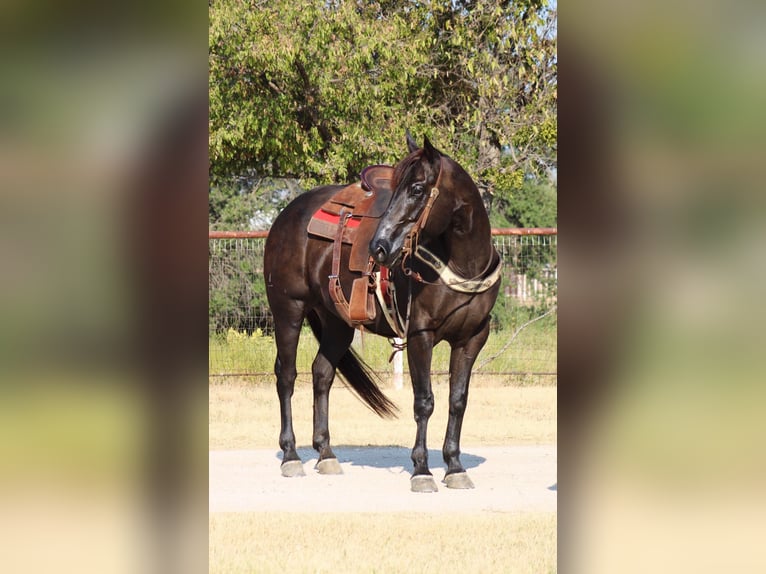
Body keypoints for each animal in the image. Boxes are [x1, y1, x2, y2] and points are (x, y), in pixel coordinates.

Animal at [264, 136, 504, 496]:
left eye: (417, 189)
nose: (379, 247)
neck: (464, 265)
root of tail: (286, 215)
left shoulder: (472, 338)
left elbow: (458, 400)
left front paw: (455, 467)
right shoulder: (421, 335)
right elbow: (425, 401)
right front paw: (421, 470)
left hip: (336, 323)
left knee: (322, 373)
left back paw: (326, 453)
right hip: (288, 311)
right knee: (287, 375)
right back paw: (291, 456)